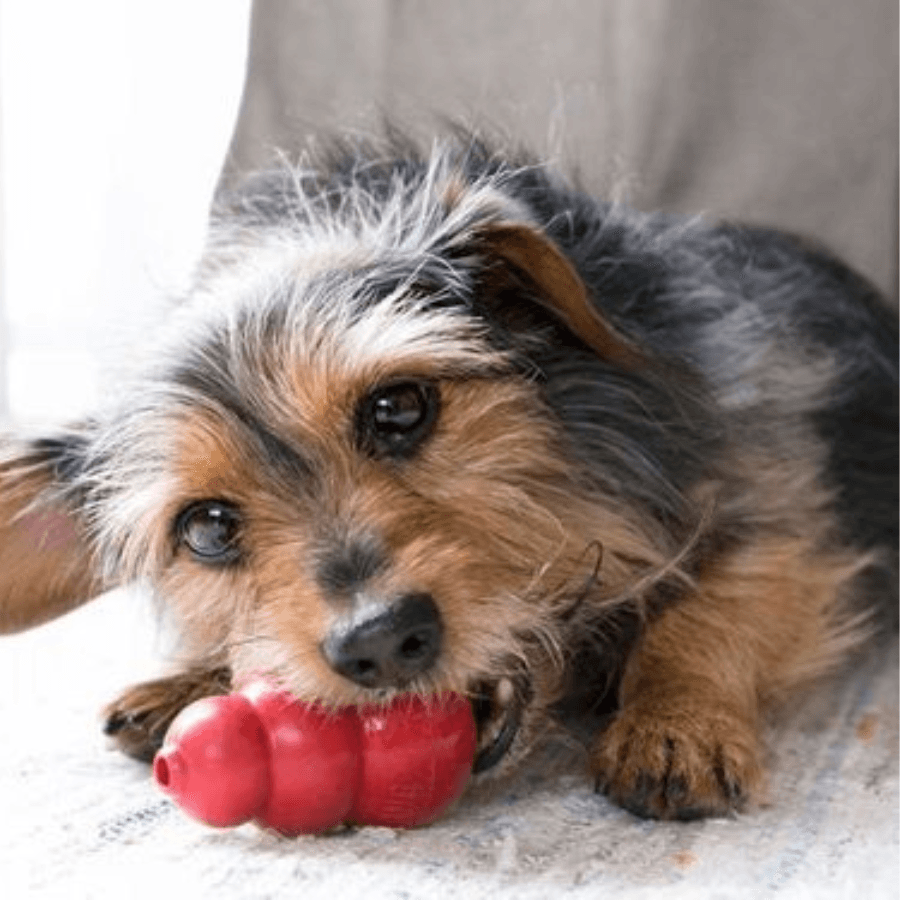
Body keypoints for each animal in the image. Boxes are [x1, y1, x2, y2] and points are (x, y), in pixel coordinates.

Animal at [0, 135, 892, 824]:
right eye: (209, 528)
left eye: (399, 407)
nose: (378, 640)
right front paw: (191, 676)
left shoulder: (788, 506)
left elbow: (710, 608)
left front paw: (679, 722)